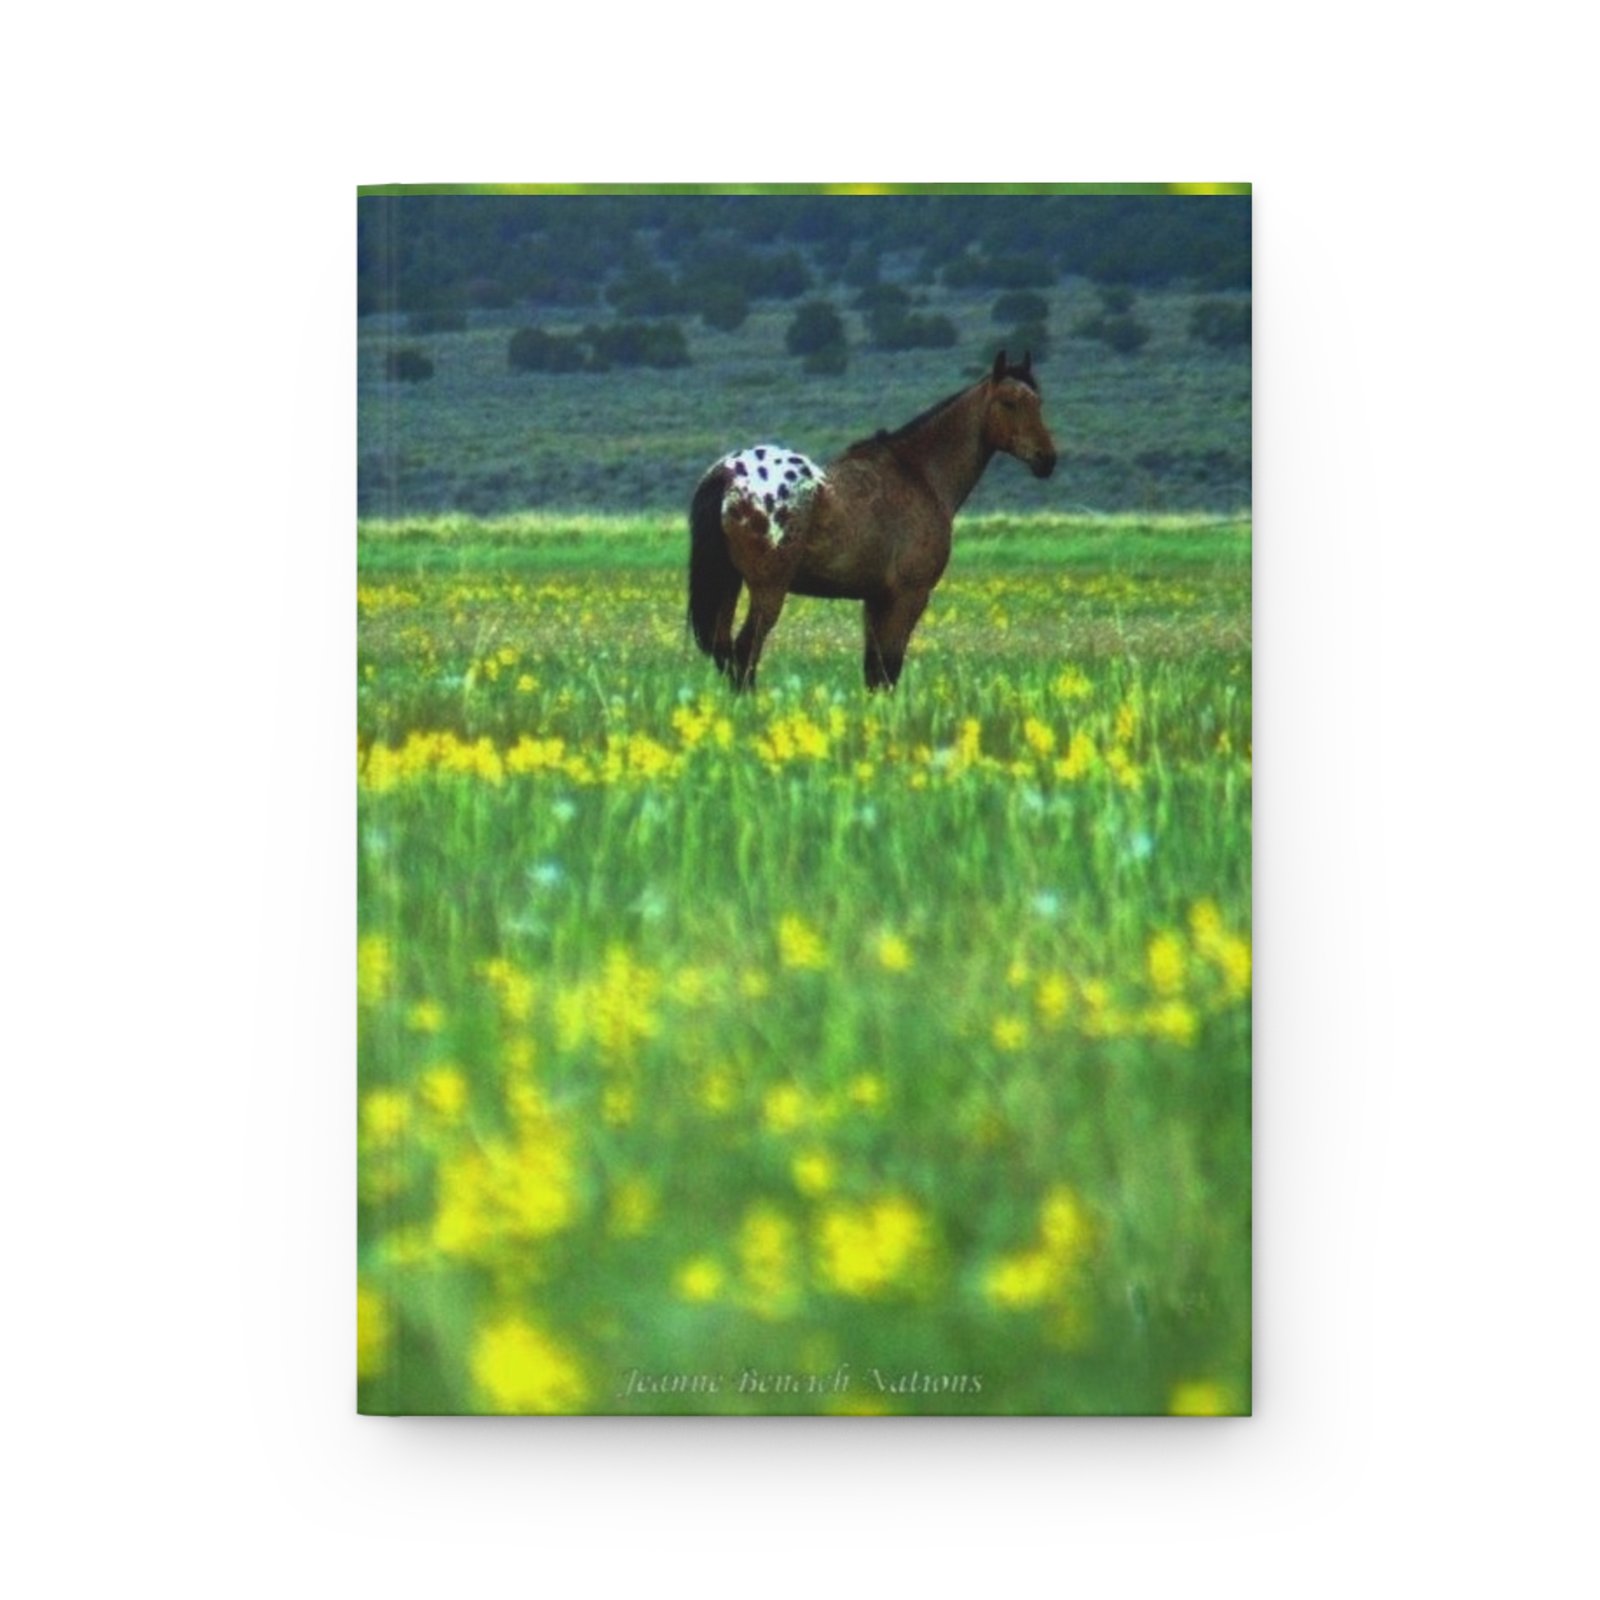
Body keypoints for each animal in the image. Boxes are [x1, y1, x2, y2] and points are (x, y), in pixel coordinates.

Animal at [688, 350, 1057, 691]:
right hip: (768, 590)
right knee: (744, 653)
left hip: (730, 583)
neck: (920, 475)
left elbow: (873, 672)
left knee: (725, 651)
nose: (1047, 459)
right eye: (1009, 402)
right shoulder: (908, 597)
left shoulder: (875, 600)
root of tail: (728, 474)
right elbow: (888, 670)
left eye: (1038, 402)